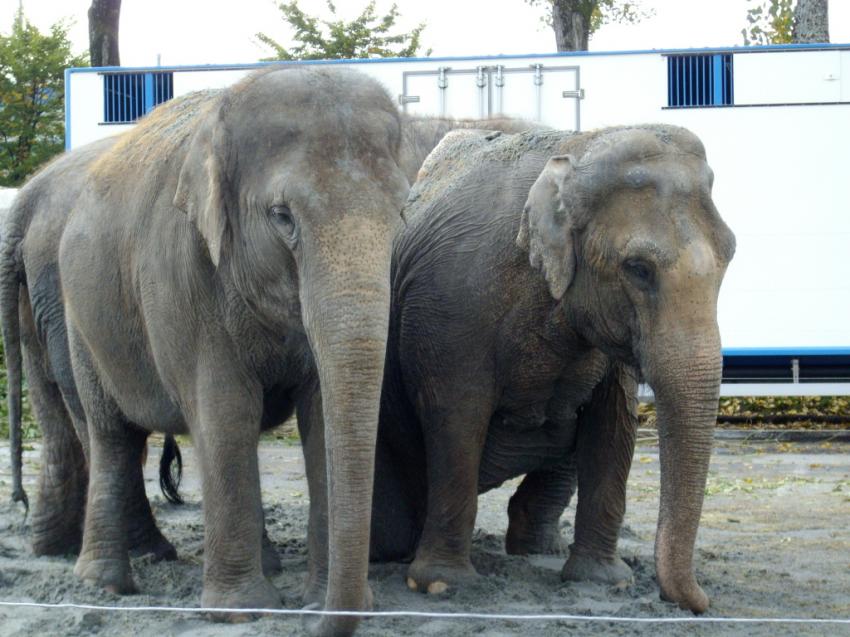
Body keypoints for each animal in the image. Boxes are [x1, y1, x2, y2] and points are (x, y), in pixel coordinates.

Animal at [364, 125, 736, 612]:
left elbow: (614, 424)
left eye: (731, 254)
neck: (576, 149)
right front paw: (441, 586)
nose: (700, 601)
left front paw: (606, 582)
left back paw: (539, 548)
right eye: (638, 269)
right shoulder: (452, 306)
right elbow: (456, 418)